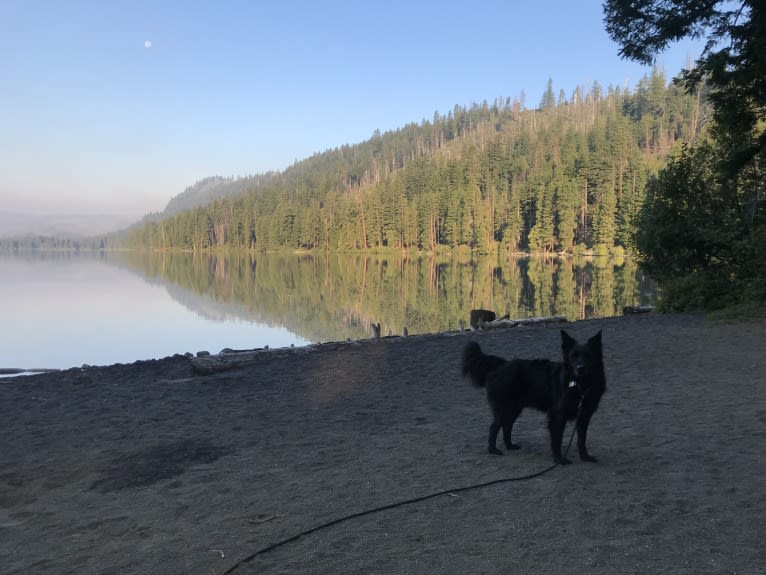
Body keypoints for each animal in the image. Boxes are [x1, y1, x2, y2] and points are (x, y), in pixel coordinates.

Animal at [462, 330, 608, 466]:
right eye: (573, 356)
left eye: (588, 356)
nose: (580, 368)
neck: (580, 385)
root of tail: (501, 364)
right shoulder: (558, 416)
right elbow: (557, 439)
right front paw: (559, 459)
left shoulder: (584, 416)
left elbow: (581, 439)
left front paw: (585, 457)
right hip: (504, 408)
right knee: (494, 427)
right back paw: (493, 450)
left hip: (515, 408)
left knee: (507, 425)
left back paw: (510, 446)